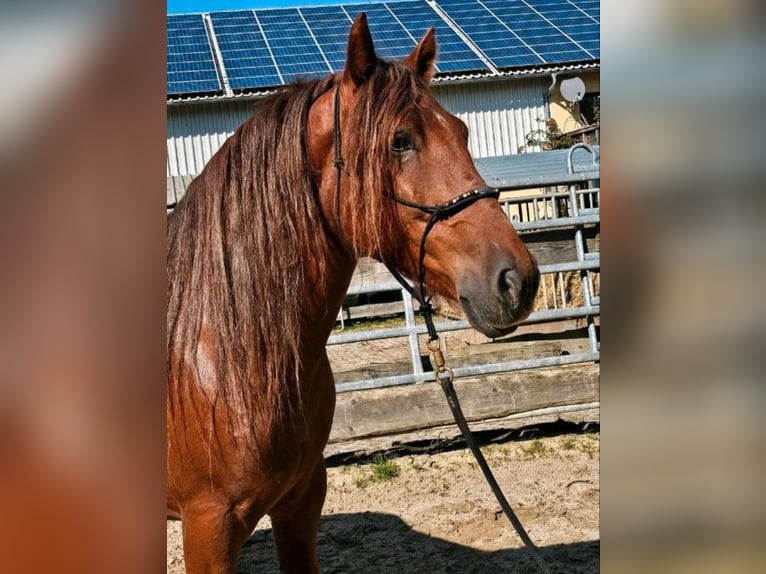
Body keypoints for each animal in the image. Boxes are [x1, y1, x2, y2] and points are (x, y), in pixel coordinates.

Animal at [168, 14, 540, 574]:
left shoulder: (301, 506)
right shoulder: (208, 528)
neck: (229, 352)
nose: (517, 280)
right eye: (400, 141)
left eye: (461, 131)